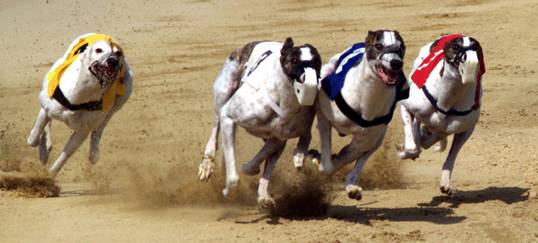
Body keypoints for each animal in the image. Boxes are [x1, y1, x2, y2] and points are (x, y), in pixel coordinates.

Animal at [27, 33, 132, 177]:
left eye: (118, 53)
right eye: (98, 50)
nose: (112, 61)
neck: (81, 97)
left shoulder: (82, 132)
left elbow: (64, 156)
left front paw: (50, 175)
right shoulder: (47, 107)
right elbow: (34, 137)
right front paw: (42, 148)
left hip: (118, 102)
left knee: (100, 128)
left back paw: (93, 153)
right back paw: (45, 149)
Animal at [199, 37, 320, 207]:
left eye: (317, 61)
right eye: (294, 60)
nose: (311, 84)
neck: (284, 102)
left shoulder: (279, 137)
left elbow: (262, 159)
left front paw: (251, 170)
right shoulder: (228, 116)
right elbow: (234, 178)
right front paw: (228, 191)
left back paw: (264, 195)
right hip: (224, 91)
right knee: (215, 130)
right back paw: (207, 165)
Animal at [310, 30, 406, 200]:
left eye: (401, 46)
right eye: (379, 45)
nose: (396, 63)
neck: (366, 97)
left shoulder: (365, 139)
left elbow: (346, 156)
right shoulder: (324, 116)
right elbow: (328, 165)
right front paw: (320, 160)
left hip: (378, 139)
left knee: (358, 161)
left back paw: (351, 186)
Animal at [396, 34, 484, 195]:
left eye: (476, 47)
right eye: (455, 47)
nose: (470, 60)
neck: (447, 98)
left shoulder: (465, 130)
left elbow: (450, 155)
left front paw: (445, 183)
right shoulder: (407, 106)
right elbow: (413, 145)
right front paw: (405, 151)